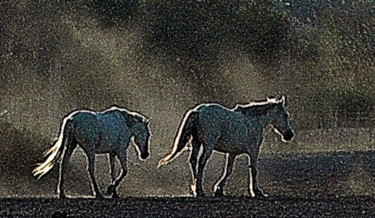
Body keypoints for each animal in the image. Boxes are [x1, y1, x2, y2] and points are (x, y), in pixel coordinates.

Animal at [158, 96, 294, 198]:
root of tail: (198, 111)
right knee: (201, 162)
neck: (254, 121)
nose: (289, 135)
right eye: (286, 115)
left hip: (197, 143)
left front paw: (219, 189)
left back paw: (195, 188)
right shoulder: (253, 151)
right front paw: (257, 191)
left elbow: (228, 170)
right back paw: (200, 190)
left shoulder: (232, 153)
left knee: (193, 160)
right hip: (208, 145)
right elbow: (254, 170)